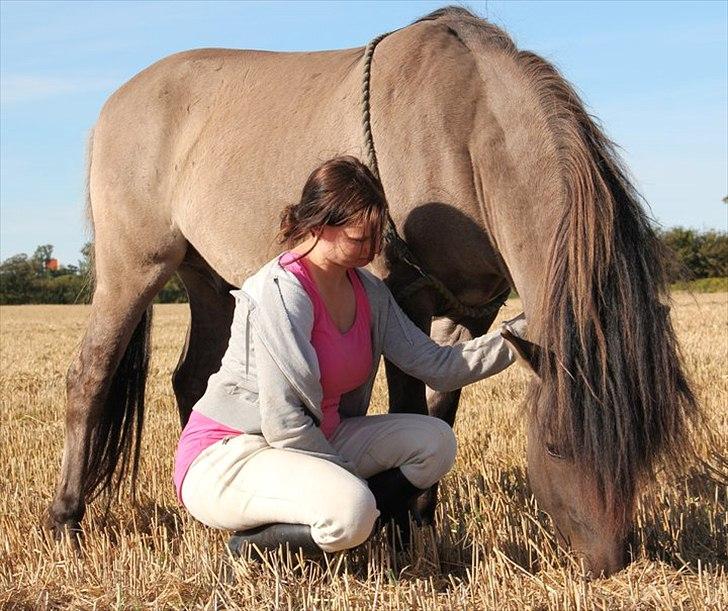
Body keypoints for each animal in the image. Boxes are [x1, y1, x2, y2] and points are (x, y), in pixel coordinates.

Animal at [48, 5, 696, 580]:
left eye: (644, 448)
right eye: (556, 447)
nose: (610, 563)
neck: (464, 126)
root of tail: (116, 101)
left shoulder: (473, 309)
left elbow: (441, 407)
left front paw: (425, 525)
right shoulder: (405, 296)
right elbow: (409, 400)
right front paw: (400, 538)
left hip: (206, 280)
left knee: (193, 377)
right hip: (132, 267)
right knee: (90, 373)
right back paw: (66, 520)